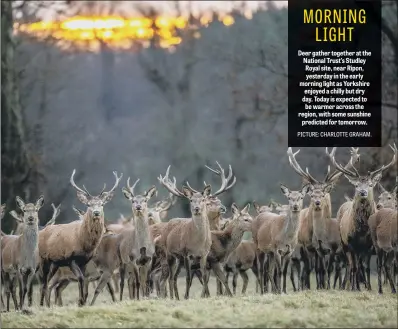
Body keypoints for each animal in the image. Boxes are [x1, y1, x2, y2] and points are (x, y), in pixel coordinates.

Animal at [156, 163, 236, 298]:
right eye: (191, 200)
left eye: (203, 200)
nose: (197, 208)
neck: (198, 242)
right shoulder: (186, 254)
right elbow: (188, 278)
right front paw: (187, 297)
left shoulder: (204, 255)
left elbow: (205, 277)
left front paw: (206, 295)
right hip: (169, 255)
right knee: (167, 279)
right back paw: (172, 297)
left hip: (178, 260)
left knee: (173, 278)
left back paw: (176, 297)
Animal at [286, 147, 360, 288]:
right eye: (311, 194)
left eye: (325, 193)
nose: (318, 202)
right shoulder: (309, 247)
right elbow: (314, 269)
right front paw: (315, 286)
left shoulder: (328, 250)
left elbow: (323, 269)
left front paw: (324, 286)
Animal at [328, 143, 396, 290]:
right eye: (356, 185)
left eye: (370, 184)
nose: (363, 192)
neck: (362, 230)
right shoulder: (351, 243)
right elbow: (355, 267)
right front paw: (356, 288)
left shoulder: (369, 246)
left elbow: (365, 267)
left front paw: (367, 287)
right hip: (343, 245)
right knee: (350, 266)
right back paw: (348, 286)